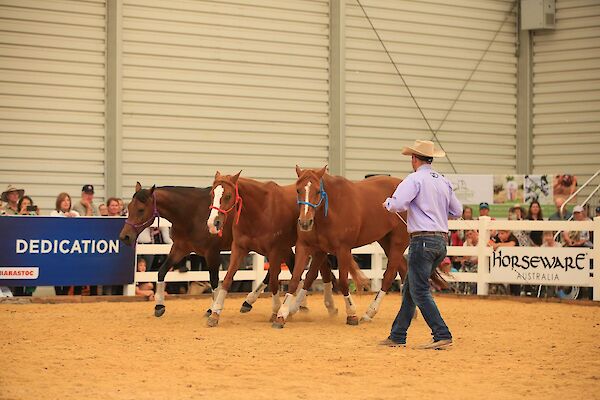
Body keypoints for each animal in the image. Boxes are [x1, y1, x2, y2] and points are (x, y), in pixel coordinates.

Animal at [119, 184, 282, 318]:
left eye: (141, 210)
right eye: (129, 208)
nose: (124, 237)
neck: (192, 213)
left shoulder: (212, 253)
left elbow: (214, 281)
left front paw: (212, 309)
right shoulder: (179, 249)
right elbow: (161, 271)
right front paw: (159, 306)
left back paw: (251, 301)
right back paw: (249, 302)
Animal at [205, 171, 352, 324]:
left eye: (228, 195)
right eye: (212, 194)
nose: (213, 223)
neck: (260, 210)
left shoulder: (274, 250)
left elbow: (274, 282)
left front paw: (276, 310)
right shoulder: (239, 248)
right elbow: (228, 278)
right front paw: (215, 313)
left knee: (320, 271)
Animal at [274, 166, 414, 328]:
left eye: (317, 191)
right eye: (298, 190)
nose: (304, 223)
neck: (332, 210)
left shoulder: (343, 250)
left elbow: (343, 281)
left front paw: (351, 313)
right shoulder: (308, 247)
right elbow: (298, 278)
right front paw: (283, 313)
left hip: (398, 242)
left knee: (389, 275)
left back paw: (369, 312)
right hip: (385, 241)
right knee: (403, 269)